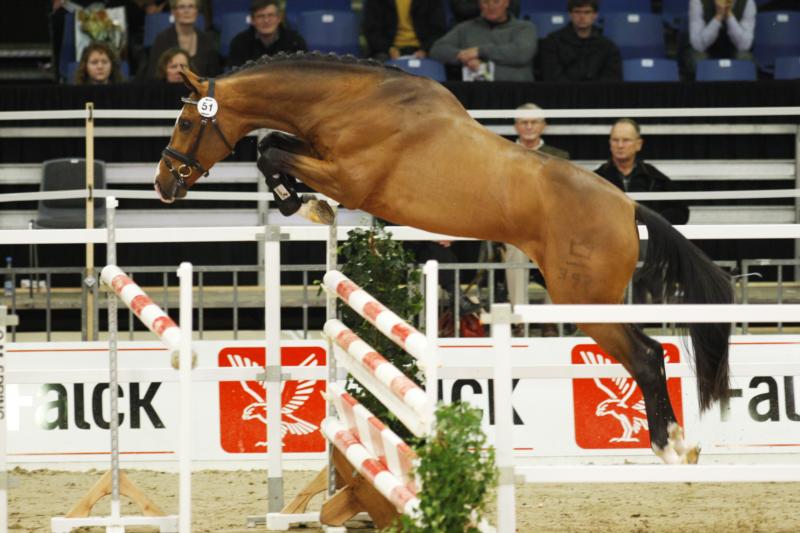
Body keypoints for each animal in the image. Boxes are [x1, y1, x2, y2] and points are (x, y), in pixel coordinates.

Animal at [154, 52, 733, 464]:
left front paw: (303, 203)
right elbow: (272, 144)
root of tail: (627, 203)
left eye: (184, 123)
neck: (351, 103)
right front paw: (304, 201)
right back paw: (677, 442)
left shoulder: (349, 178)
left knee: (647, 356)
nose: (163, 184)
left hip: (585, 301)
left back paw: (670, 445)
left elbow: (270, 150)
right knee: (650, 354)